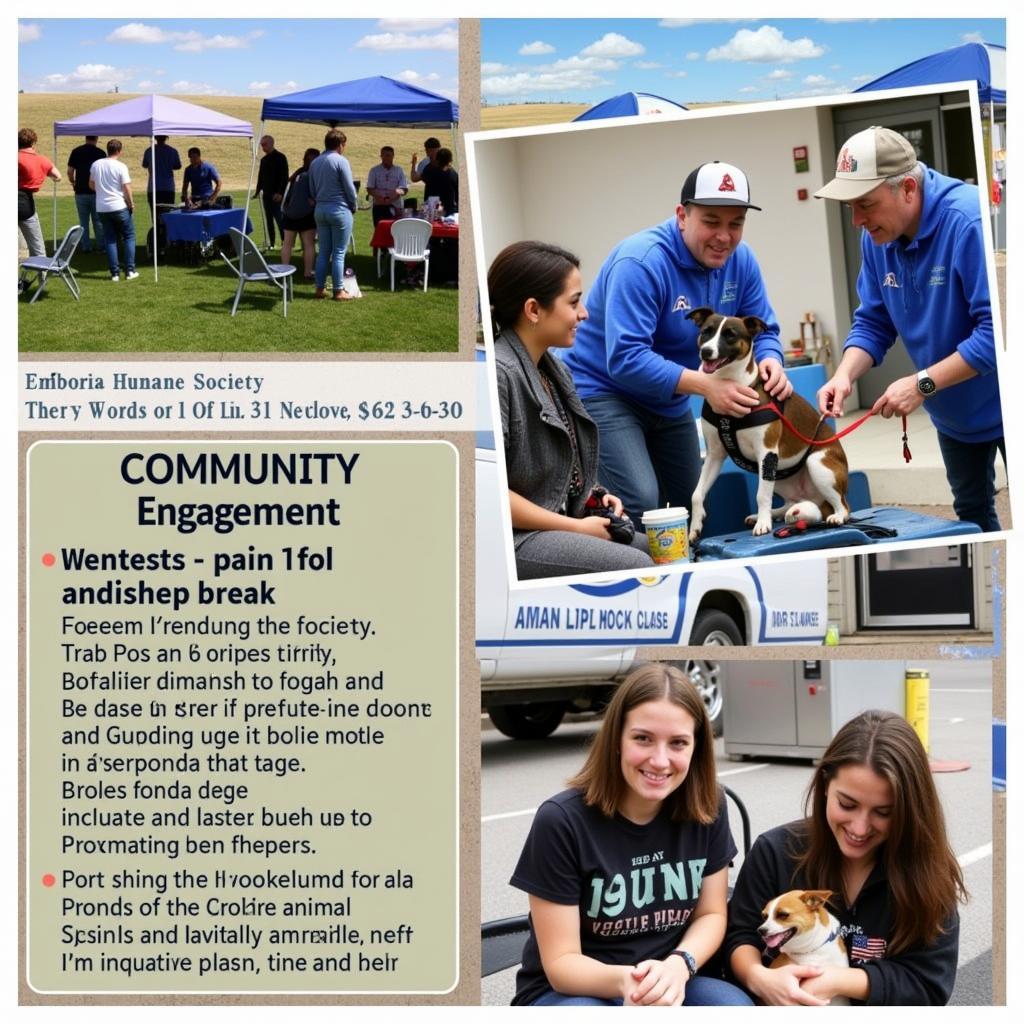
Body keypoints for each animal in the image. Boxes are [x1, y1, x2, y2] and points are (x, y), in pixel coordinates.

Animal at [688, 305, 847, 540]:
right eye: (706, 332)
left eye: (730, 335)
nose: (706, 351)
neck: (732, 384)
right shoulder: (715, 455)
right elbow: (697, 494)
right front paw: (695, 527)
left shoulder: (767, 452)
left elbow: (761, 495)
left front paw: (763, 524)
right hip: (777, 475)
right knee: (790, 502)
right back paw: (773, 514)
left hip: (816, 464)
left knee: (843, 506)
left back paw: (836, 516)